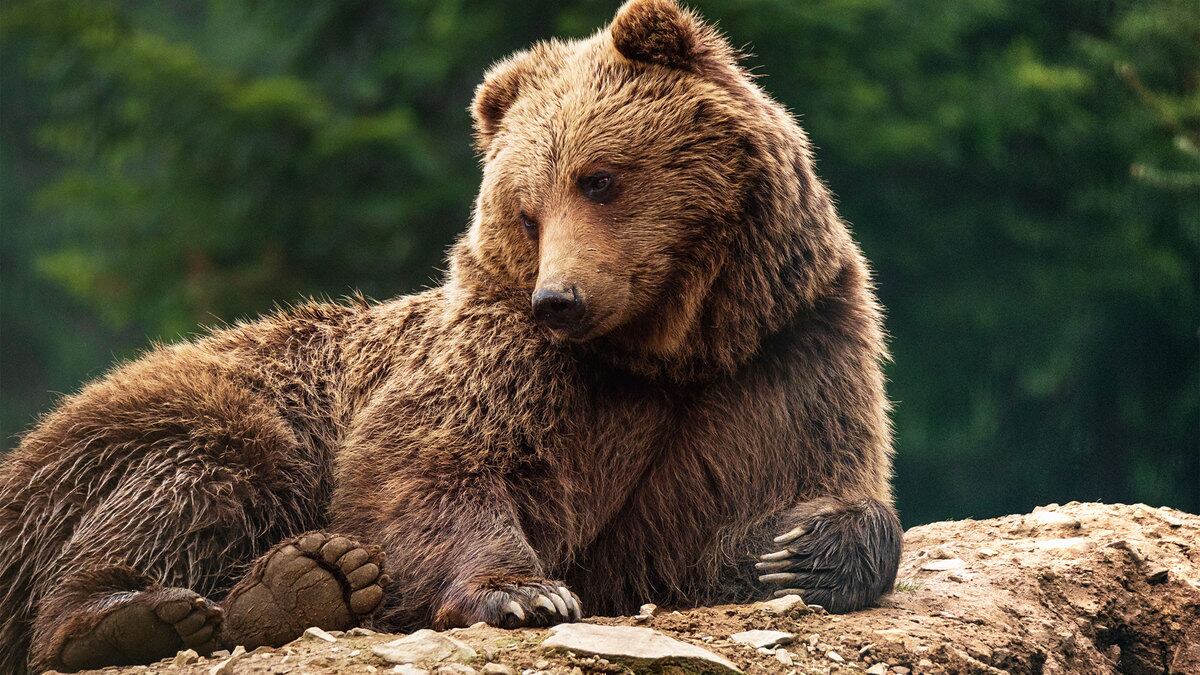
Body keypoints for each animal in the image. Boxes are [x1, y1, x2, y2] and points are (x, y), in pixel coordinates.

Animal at [0, 0, 902, 672]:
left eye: (599, 178)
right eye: (528, 210)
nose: (559, 299)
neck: (666, 345)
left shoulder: (783, 347)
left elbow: (736, 507)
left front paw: (803, 544)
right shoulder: (510, 357)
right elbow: (431, 461)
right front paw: (524, 589)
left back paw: (300, 584)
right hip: (170, 417)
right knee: (200, 473)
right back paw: (144, 610)